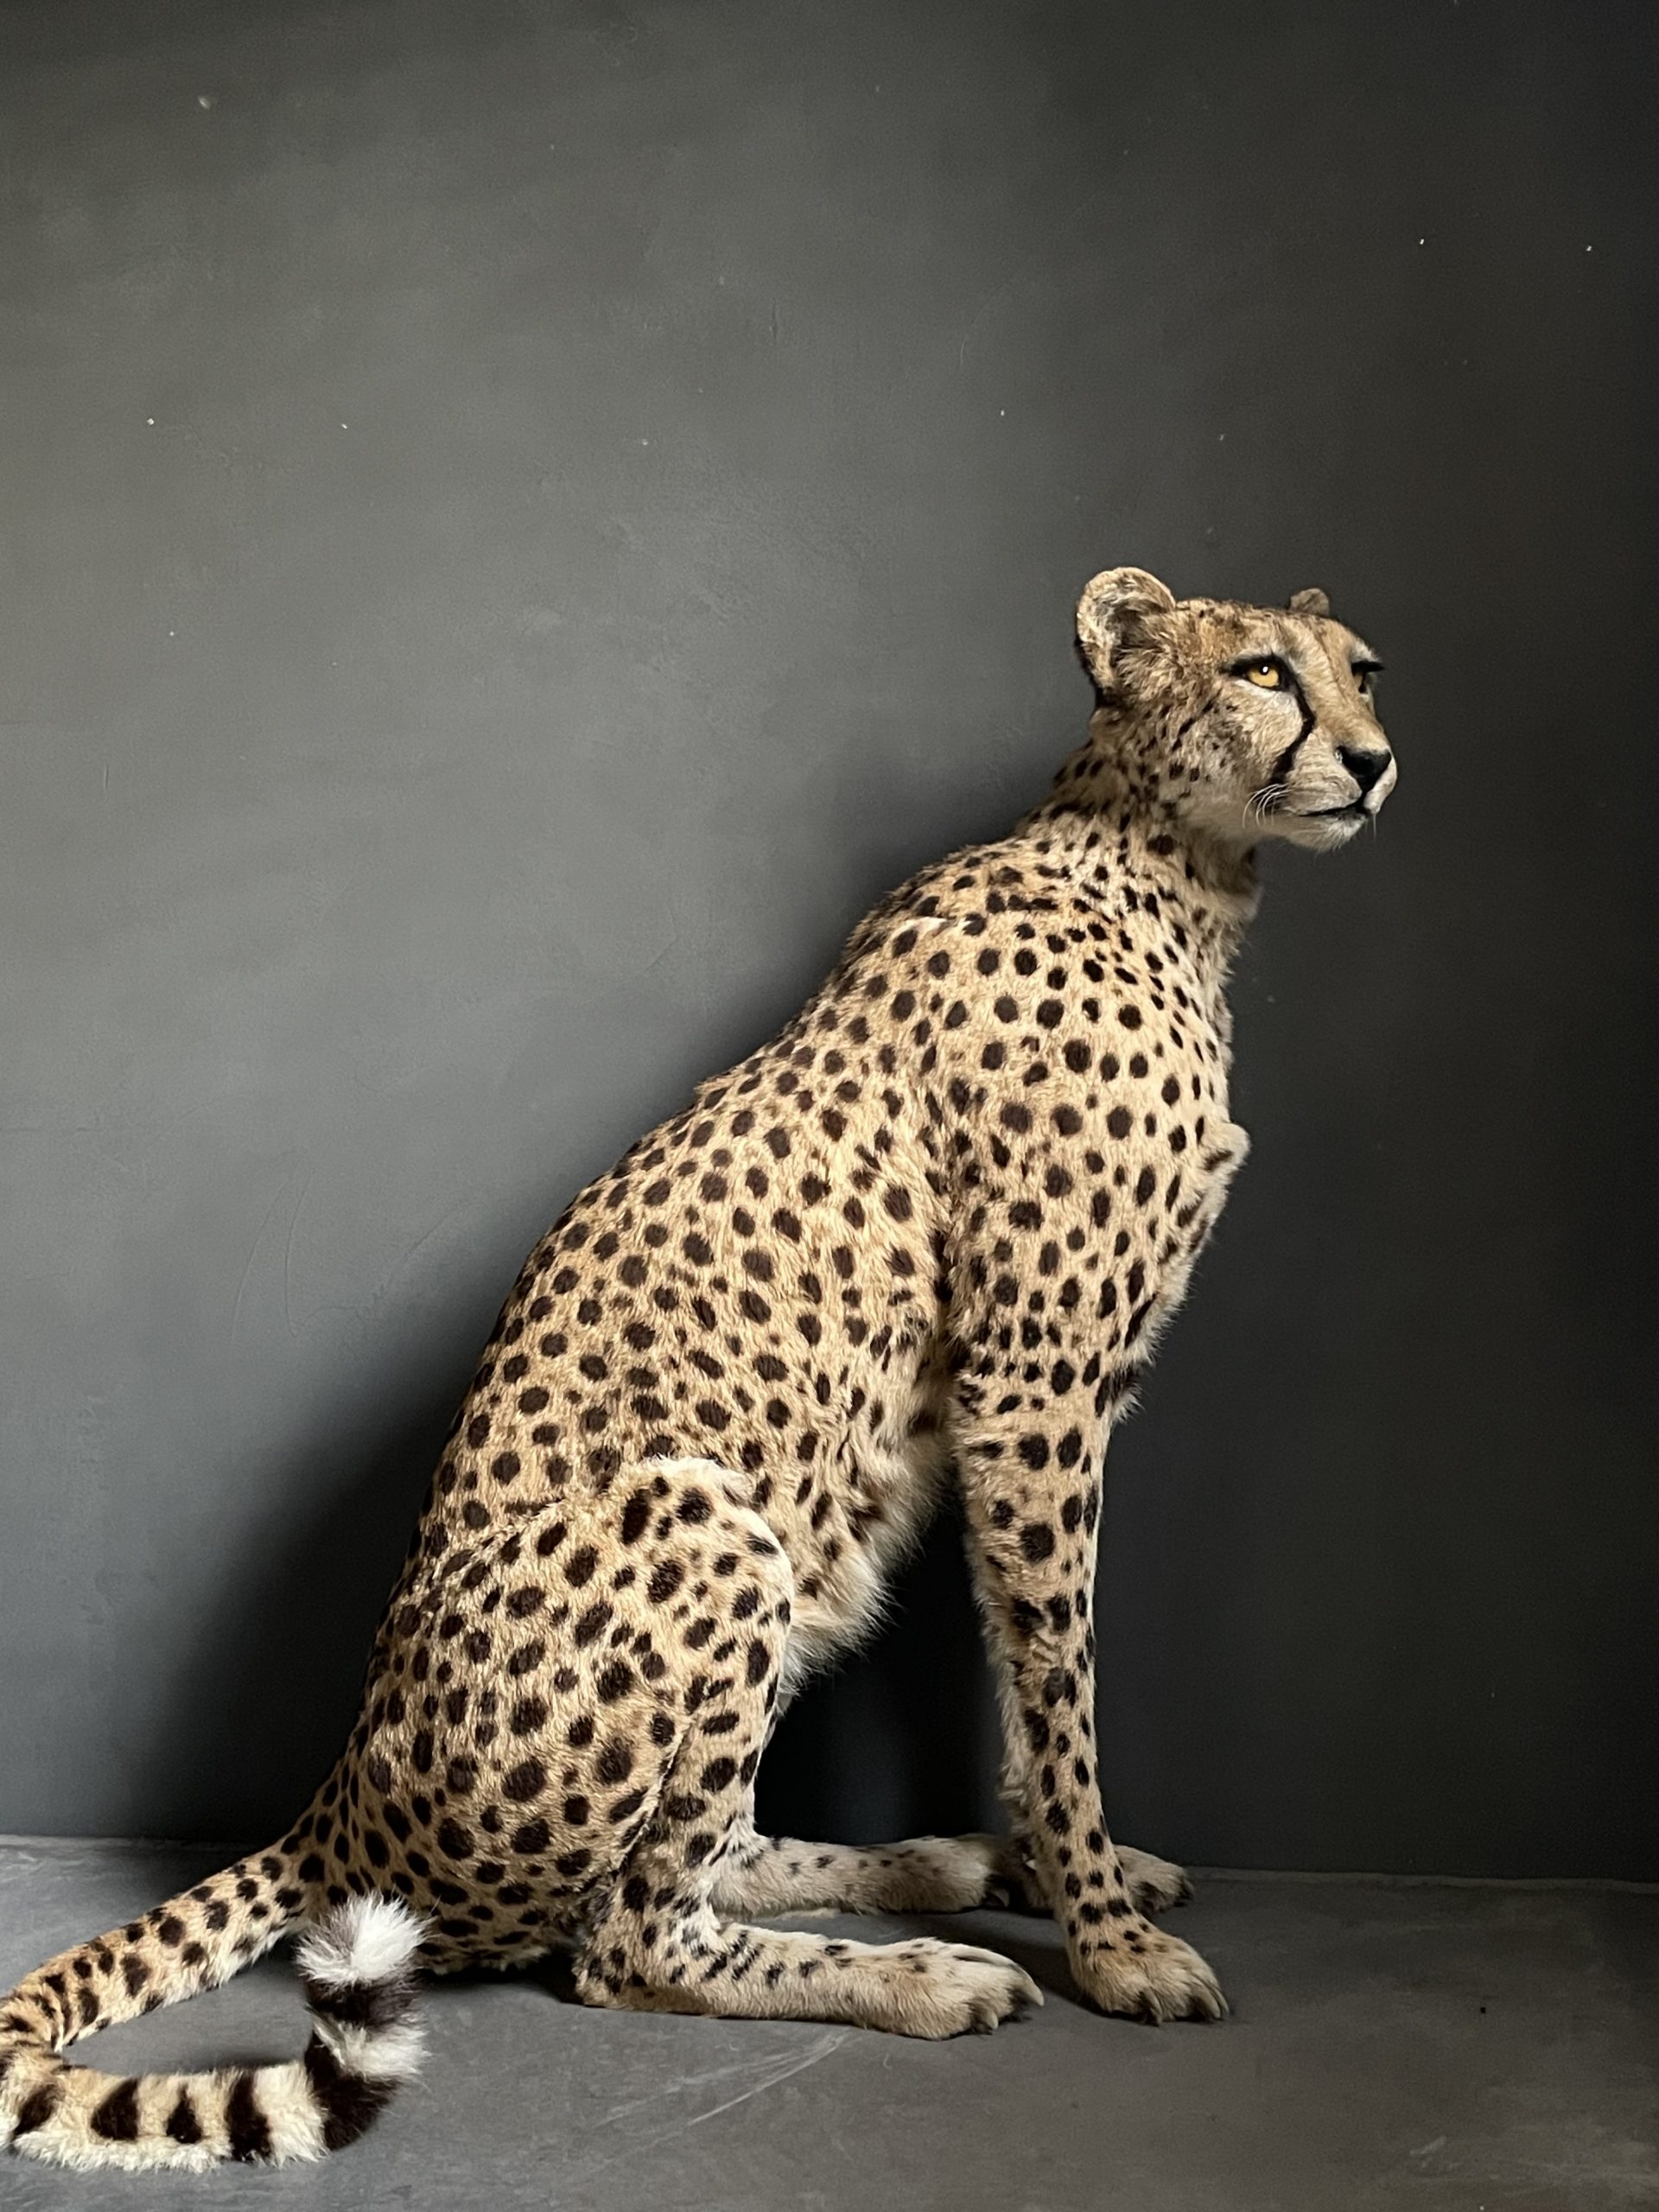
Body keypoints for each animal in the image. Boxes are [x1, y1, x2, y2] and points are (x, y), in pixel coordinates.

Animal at [0, 566, 1396, 2170]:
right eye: (1262, 672)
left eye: (1361, 669)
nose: (1374, 761)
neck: (1171, 870)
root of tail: (336, 1801)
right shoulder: (1037, 1389)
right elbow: (1060, 1674)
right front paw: (1104, 1941)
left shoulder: (1043, 1405)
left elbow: (1020, 1659)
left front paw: (1061, 1872)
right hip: (708, 1517)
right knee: (629, 1938)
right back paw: (926, 1969)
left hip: (795, 1569)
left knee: (704, 1856)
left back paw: (939, 1862)